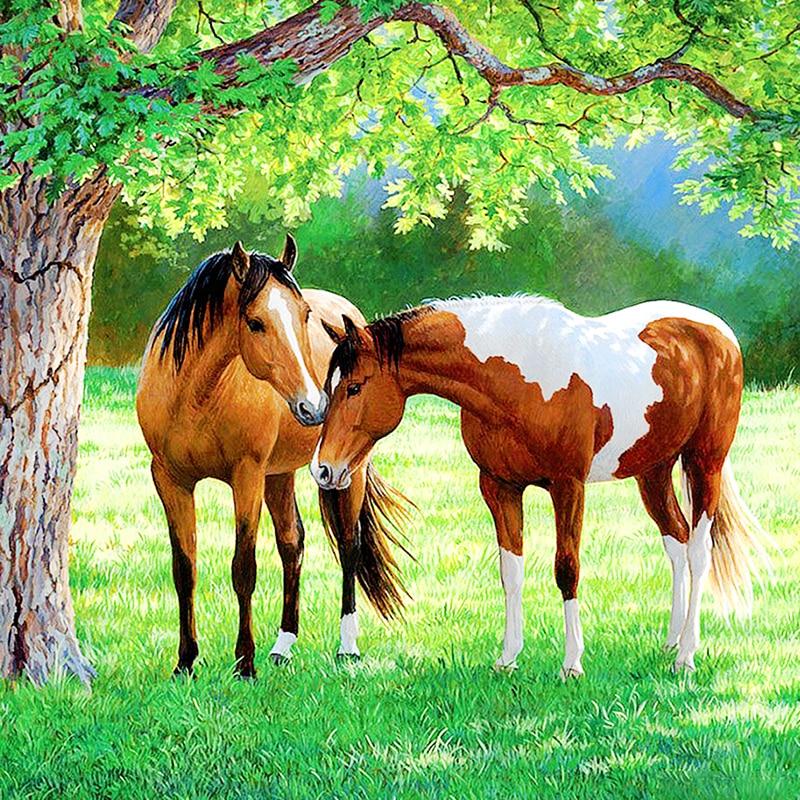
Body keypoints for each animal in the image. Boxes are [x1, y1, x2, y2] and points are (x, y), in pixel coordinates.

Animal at [136, 236, 408, 677]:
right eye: (255, 322)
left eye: (304, 315)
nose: (314, 406)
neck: (194, 397)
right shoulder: (169, 479)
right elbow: (184, 569)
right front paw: (185, 662)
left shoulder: (246, 476)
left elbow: (243, 568)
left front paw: (244, 663)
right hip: (280, 475)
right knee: (292, 543)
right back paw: (283, 646)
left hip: (348, 470)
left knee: (349, 544)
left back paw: (347, 647)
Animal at [310, 296, 769, 677]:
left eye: (354, 387)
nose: (323, 470)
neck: (519, 381)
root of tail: (717, 330)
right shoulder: (499, 487)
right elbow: (510, 572)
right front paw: (508, 658)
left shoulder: (568, 486)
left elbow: (567, 569)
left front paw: (572, 664)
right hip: (652, 470)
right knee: (675, 541)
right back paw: (671, 642)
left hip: (704, 463)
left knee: (698, 552)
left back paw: (686, 655)